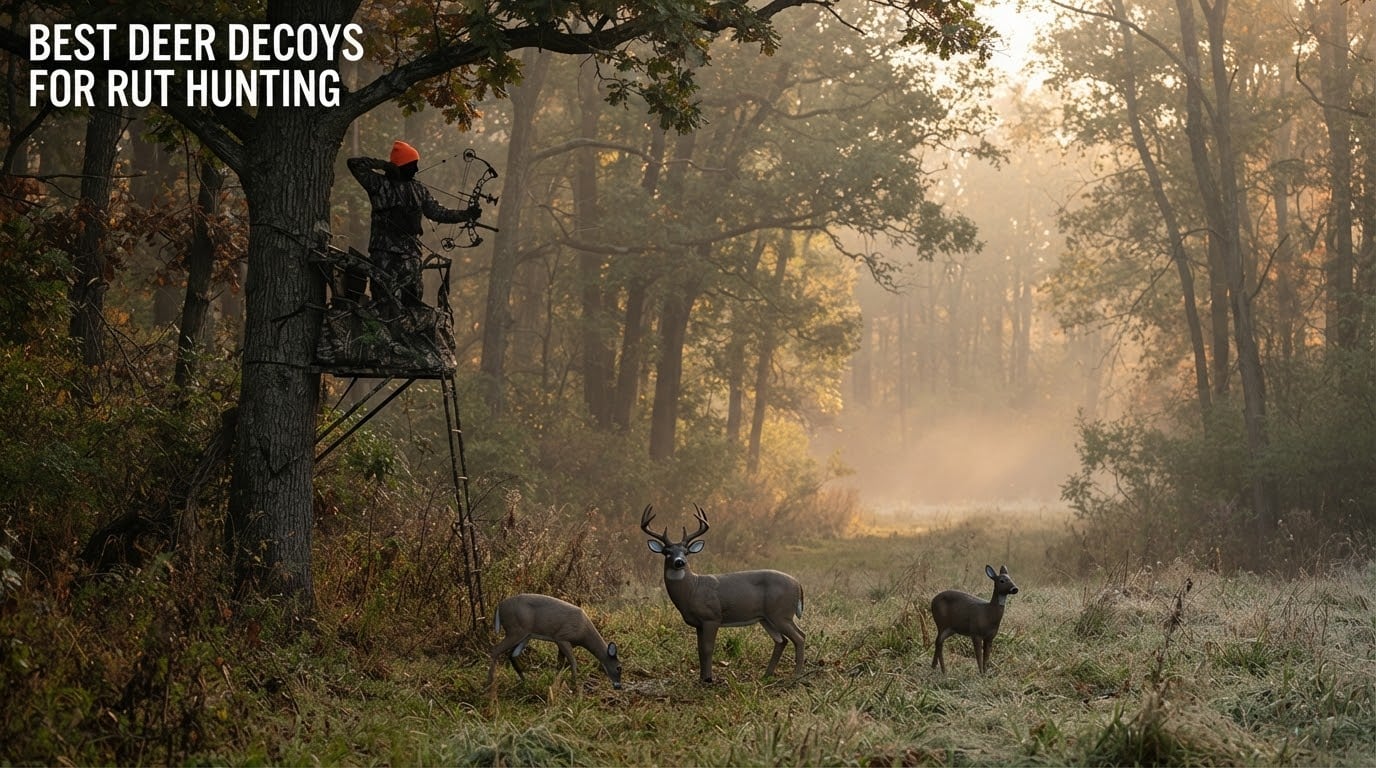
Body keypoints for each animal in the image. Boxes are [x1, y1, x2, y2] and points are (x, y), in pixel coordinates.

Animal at [486, 593, 622, 692]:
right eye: (619, 668)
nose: (618, 686)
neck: (583, 631)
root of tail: (499, 606)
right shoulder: (562, 638)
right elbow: (573, 662)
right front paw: (574, 688)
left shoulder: (561, 643)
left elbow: (560, 665)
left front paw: (556, 685)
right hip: (515, 630)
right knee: (495, 650)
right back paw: (489, 685)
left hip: (525, 635)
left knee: (512, 654)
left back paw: (524, 680)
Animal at [640, 504, 805, 683]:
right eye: (667, 552)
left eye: (686, 552)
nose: (680, 562)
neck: (692, 589)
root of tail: (798, 585)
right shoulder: (699, 623)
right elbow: (699, 649)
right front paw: (701, 678)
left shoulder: (712, 617)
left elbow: (707, 648)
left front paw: (708, 679)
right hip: (766, 618)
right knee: (781, 640)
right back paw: (765, 675)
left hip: (781, 613)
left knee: (799, 636)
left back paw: (796, 675)